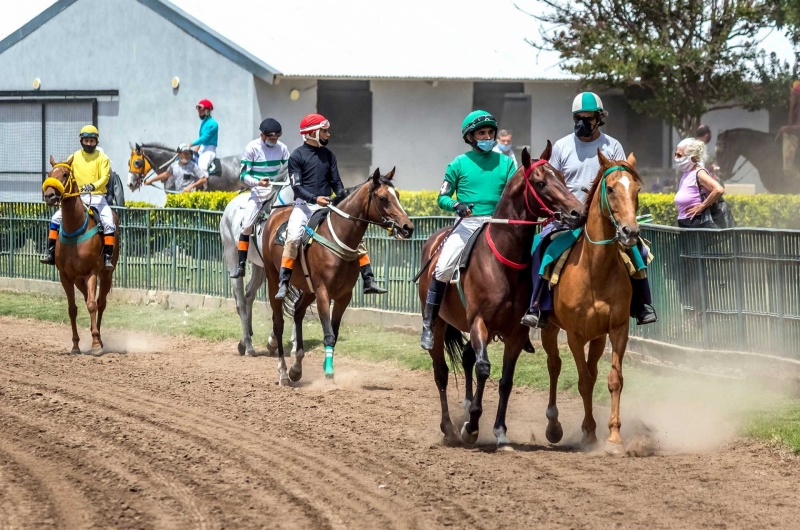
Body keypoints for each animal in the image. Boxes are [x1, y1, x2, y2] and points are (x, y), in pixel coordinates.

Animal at [42, 157, 119, 354]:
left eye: (65, 174)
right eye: (49, 173)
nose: (49, 196)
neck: (74, 229)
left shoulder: (91, 272)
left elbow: (92, 305)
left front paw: (95, 344)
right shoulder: (65, 276)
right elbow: (72, 309)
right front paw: (76, 345)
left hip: (106, 274)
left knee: (100, 302)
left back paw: (100, 338)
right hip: (78, 279)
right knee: (87, 298)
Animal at [264, 168, 416, 384]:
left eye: (398, 196)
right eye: (383, 198)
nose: (407, 227)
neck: (338, 238)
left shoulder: (344, 296)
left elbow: (333, 334)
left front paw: (325, 366)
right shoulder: (323, 292)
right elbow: (328, 333)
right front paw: (329, 373)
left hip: (308, 289)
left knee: (298, 312)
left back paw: (296, 368)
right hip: (273, 278)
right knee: (278, 324)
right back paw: (284, 372)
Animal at [422, 141, 584, 446]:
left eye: (562, 177)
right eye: (540, 183)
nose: (577, 213)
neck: (503, 262)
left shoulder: (515, 332)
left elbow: (506, 381)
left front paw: (499, 431)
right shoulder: (479, 322)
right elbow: (484, 368)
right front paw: (472, 426)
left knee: (467, 359)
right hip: (439, 324)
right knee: (442, 372)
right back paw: (449, 427)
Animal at [540, 150, 640, 454]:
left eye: (637, 190)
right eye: (611, 189)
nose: (630, 232)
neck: (596, 269)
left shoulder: (618, 329)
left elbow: (613, 380)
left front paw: (614, 437)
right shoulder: (574, 334)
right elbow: (583, 382)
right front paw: (590, 434)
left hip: (597, 337)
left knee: (593, 371)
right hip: (549, 328)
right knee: (554, 365)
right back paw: (554, 427)